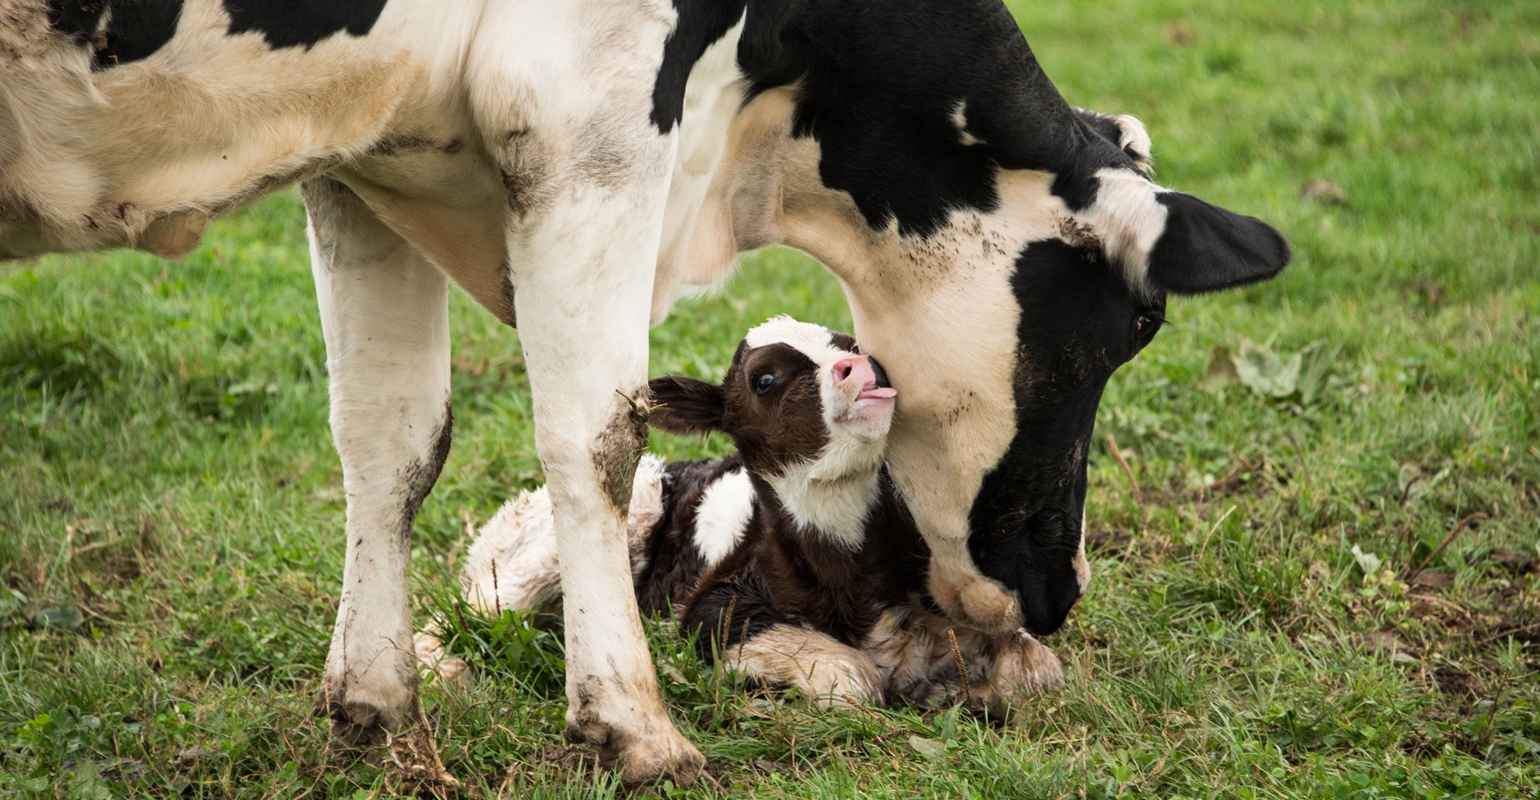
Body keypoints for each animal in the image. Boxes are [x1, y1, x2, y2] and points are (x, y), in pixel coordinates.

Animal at [435, 316, 1067, 715]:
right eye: (763, 379)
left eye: (852, 344)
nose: (859, 368)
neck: (851, 576)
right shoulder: (711, 611)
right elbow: (853, 680)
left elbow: (1039, 670)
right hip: (570, 538)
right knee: (469, 616)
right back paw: (443, 675)